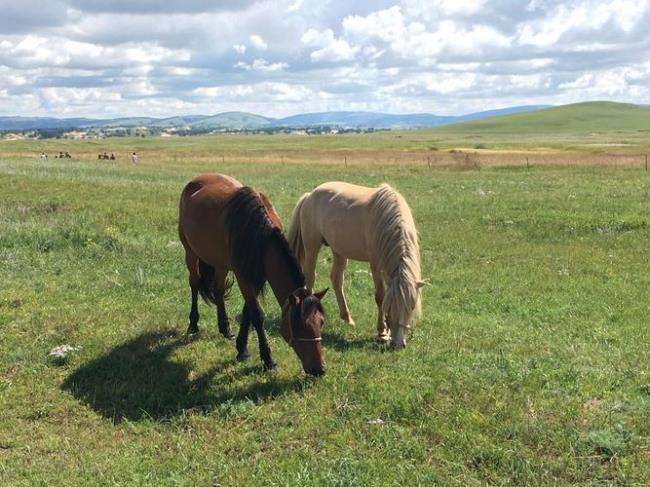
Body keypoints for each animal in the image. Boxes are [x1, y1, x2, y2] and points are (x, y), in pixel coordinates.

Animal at [177, 173, 326, 376]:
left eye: (321, 323)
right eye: (299, 327)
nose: (319, 369)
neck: (260, 234)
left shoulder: (259, 275)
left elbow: (247, 310)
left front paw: (242, 348)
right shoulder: (244, 276)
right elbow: (257, 314)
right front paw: (267, 359)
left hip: (221, 262)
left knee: (218, 289)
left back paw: (225, 327)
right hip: (191, 253)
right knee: (194, 283)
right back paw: (193, 324)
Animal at [286, 182, 422, 346]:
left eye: (412, 306)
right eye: (391, 306)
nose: (398, 344)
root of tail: (310, 195)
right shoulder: (376, 264)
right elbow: (380, 296)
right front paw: (382, 332)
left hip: (338, 250)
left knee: (336, 280)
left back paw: (347, 318)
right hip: (312, 246)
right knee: (311, 277)